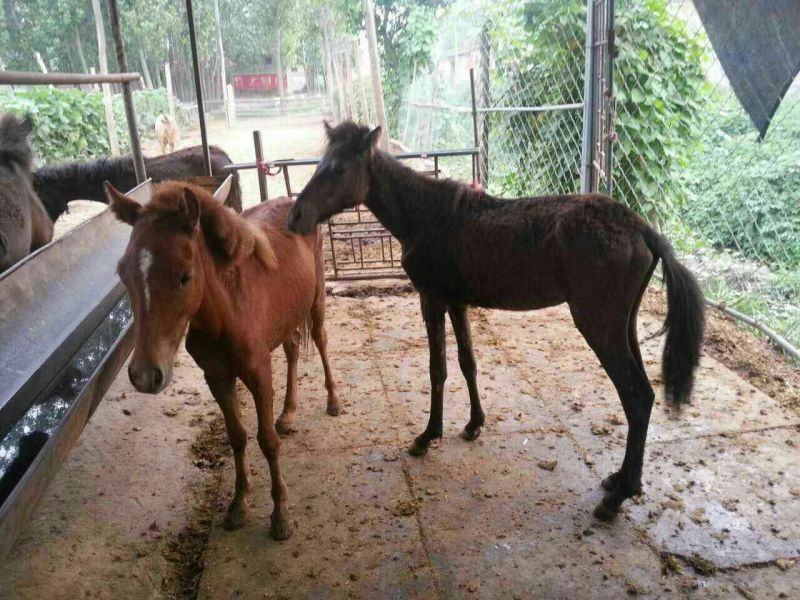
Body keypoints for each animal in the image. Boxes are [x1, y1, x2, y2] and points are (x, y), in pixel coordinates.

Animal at [106, 180, 341, 540]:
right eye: (122, 272)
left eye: (185, 276)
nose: (145, 375)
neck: (225, 313)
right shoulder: (216, 378)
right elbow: (237, 437)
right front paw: (238, 504)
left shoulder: (258, 374)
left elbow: (266, 442)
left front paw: (281, 515)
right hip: (287, 317)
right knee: (292, 349)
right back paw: (288, 413)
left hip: (315, 300)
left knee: (320, 340)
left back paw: (333, 400)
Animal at [287, 121, 705, 520]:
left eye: (338, 168)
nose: (295, 217)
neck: (427, 215)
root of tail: (642, 229)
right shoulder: (457, 303)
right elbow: (467, 362)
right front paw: (473, 424)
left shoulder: (432, 299)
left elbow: (438, 368)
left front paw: (428, 435)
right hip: (624, 327)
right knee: (643, 396)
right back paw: (622, 481)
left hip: (600, 327)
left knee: (636, 396)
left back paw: (617, 498)